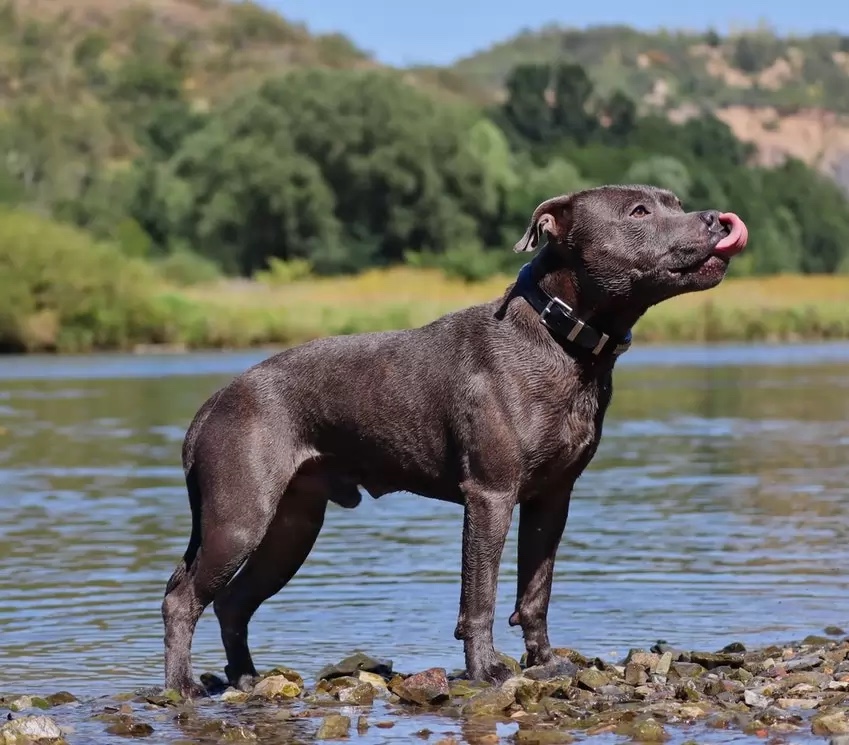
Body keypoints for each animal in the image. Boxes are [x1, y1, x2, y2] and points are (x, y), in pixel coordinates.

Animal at [162, 183, 744, 696]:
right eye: (639, 211)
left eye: (676, 202)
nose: (718, 219)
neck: (564, 336)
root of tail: (212, 403)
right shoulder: (490, 495)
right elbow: (480, 594)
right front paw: (488, 671)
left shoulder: (551, 499)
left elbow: (535, 591)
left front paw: (545, 663)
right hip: (240, 519)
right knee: (182, 597)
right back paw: (182, 687)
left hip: (291, 528)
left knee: (233, 603)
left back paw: (245, 679)